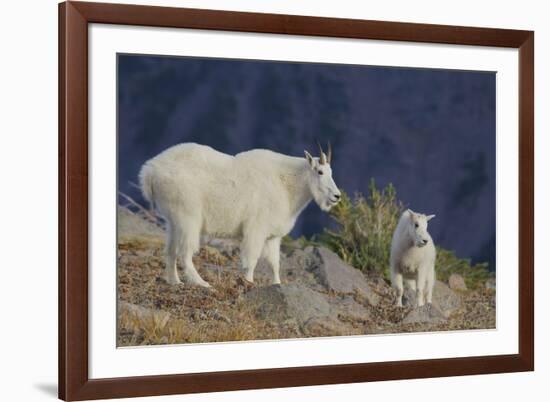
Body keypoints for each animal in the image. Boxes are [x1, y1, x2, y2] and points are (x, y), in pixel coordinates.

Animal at [140, 143, 342, 288]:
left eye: (332, 172)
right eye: (320, 171)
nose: (337, 196)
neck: (286, 184)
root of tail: (150, 172)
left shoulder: (272, 236)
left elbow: (274, 263)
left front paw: (277, 284)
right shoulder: (256, 229)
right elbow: (251, 260)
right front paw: (249, 283)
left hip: (173, 220)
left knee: (170, 250)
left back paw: (174, 281)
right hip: (188, 217)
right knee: (185, 252)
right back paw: (202, 283)